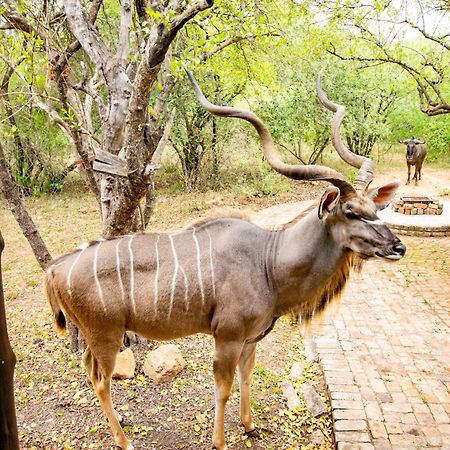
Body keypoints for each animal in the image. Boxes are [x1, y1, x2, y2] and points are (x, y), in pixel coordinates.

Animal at [44, 70, 406, 450]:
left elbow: (247, 378)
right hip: (106, 335)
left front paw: (250, 426)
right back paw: (125, 441)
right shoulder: (227, 337)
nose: (398, 247)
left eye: (377, 209)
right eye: (350, 212)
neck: (267, 262)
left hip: (95, 338)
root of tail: (55, 269)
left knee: (89, 370)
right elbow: (223, 388)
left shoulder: (251, 339)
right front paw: (220, 441)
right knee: (101, 380)